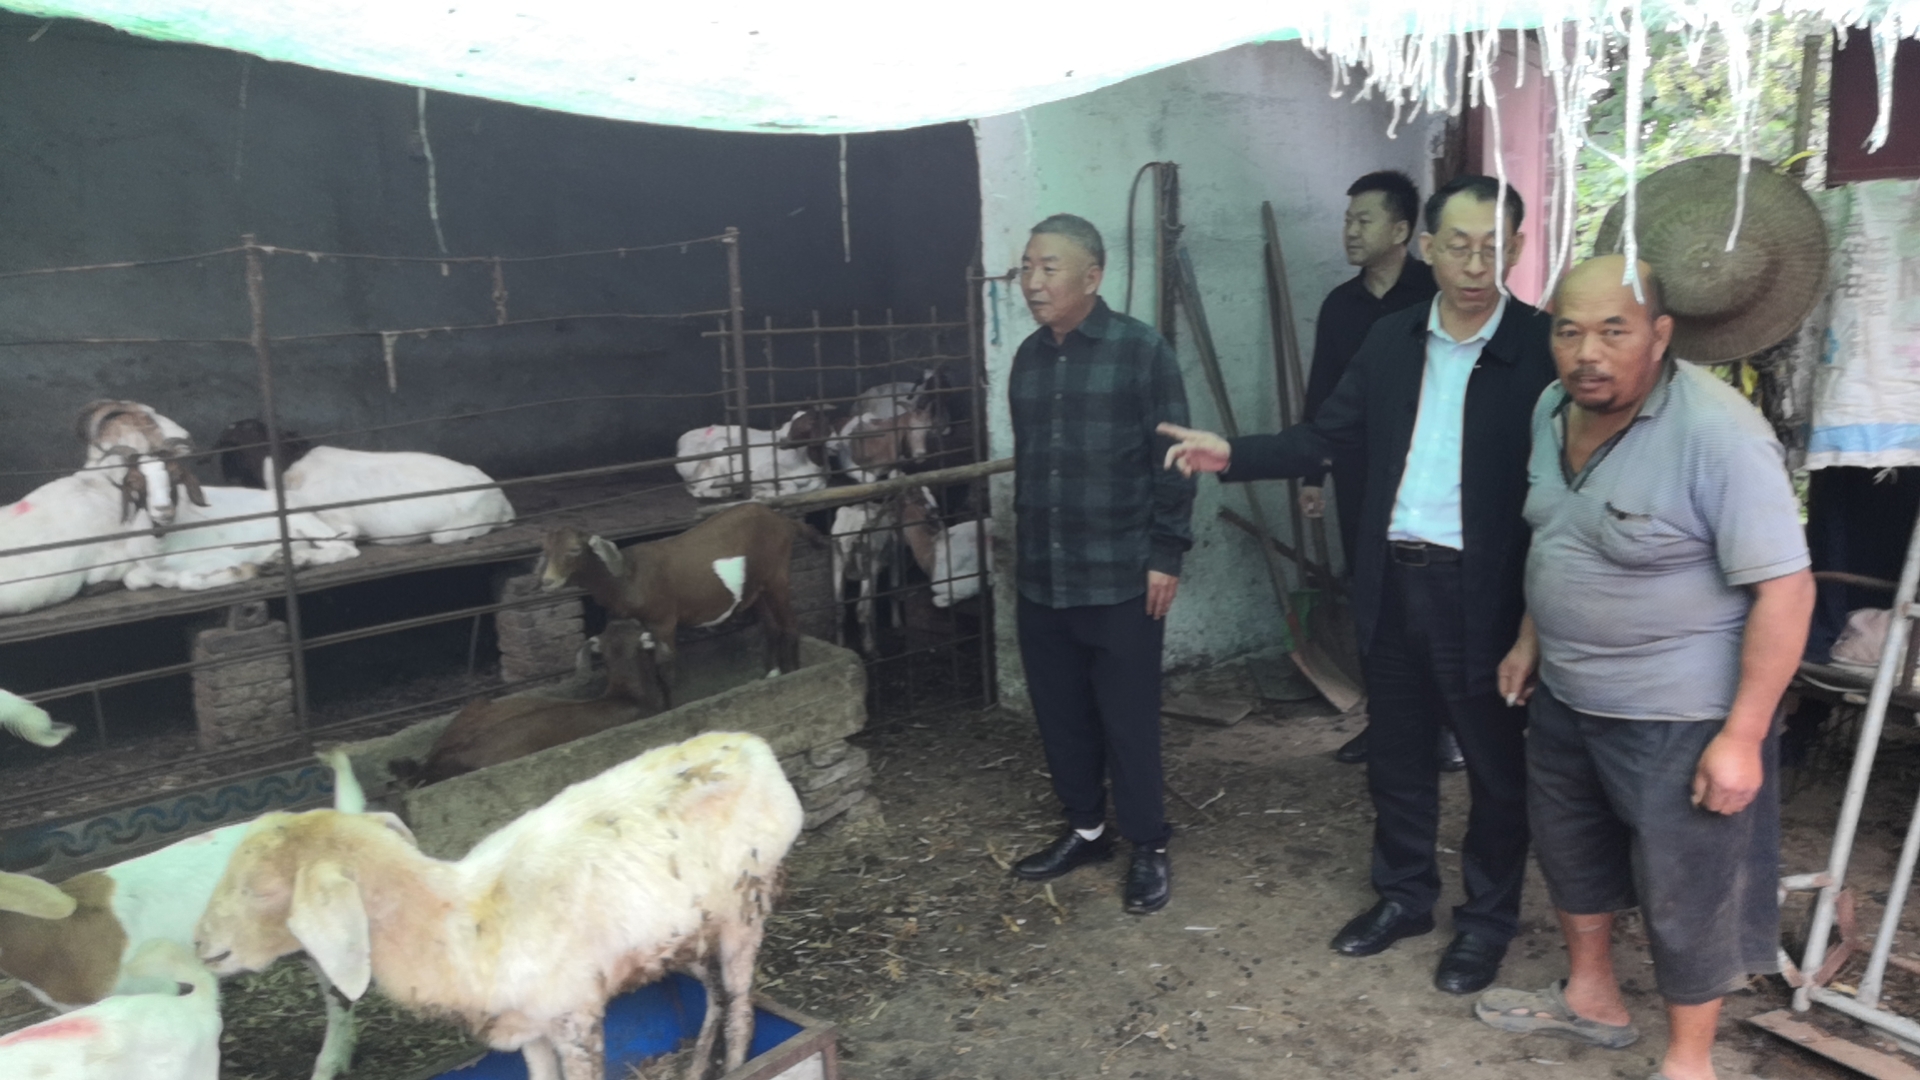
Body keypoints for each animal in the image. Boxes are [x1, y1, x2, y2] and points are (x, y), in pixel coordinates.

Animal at [122, 486, 360, 592]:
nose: (162, 512)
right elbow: (132, 580)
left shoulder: (214, 558)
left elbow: (186, 580)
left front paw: (240, 571)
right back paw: (280, 559)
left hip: (300, 517)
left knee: (346, 547)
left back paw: (297, 559)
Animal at [195, 730, 804, 1080]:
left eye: (260, 888)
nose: (201, 946)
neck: (459, 921)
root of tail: (751, 743)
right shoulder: (526, 1029)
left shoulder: (574, 1017)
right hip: (685, 928)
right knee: (713, 995)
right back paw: (697, 1065)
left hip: (744, 908)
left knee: (741, 1006)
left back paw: (739, 1064)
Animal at [537, 503, 820, 706]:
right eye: (546, 551)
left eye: (574, 550)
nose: (548, 581)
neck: (628, 576)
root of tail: (783, 520)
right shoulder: (639, 626)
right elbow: (647, 666)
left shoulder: (662, 621)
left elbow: (665, 669)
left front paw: (670, 708)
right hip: (757, 587)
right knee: (771, 627)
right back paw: (773, 673)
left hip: (777, 577)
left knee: (790, 625)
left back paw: (797, 673)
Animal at [674, 409, 831, 500]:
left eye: (807, 423)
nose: (781, 441)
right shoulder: (762, 471)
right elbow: (790, 487)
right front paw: (762, 493)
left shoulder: (820, 482)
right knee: (699, 490)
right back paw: (724, 491)